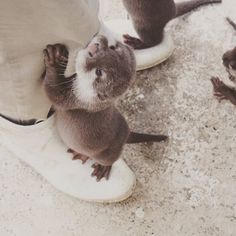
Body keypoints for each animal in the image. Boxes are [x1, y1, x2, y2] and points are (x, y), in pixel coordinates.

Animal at [42, 36, 168, 182]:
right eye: (112, 48)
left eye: (98, 72)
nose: (94, 49)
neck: (87, 98)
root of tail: (127, 134)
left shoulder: (73, 100)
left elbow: (52, 90)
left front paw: (54, 58)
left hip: (108, 153)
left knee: (110, 160)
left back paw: (103, 168)